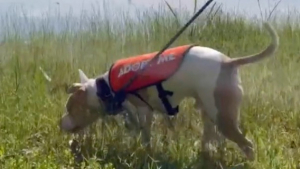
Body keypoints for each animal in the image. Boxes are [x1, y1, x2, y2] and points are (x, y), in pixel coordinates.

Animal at [58, 21, 278, 161]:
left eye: (70, 108)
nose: (60, 123)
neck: (106, 87)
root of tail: (229, 62)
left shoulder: (143, 110)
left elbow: (145, 134)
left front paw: (144, 151)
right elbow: (138, 129)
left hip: (221, 114)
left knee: (247, 144)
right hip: (210, 112)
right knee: (211, 138)